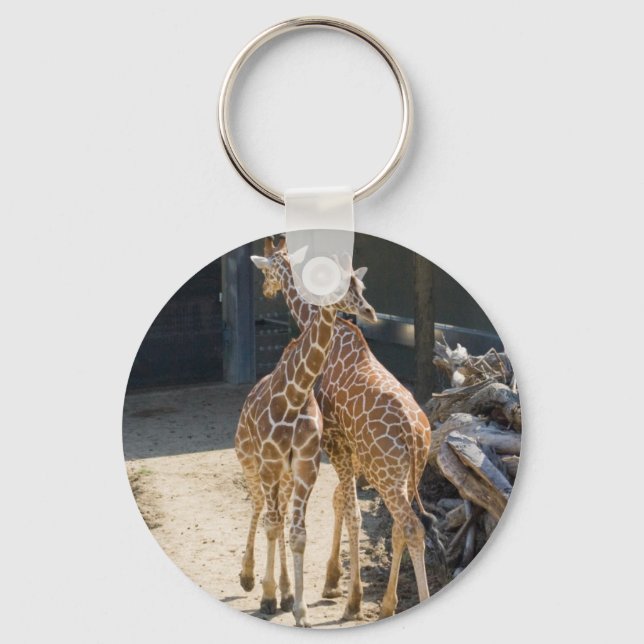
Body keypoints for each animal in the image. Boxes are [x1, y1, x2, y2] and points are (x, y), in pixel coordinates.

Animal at [234, 251, 376, 627]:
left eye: (361, 284)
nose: (369, 311)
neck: (295, 395)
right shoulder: (270, 464)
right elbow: (273, 525)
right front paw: (268, 596)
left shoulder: (305, 466)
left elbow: (298, 533)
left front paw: (298, 608)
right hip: (250, 462)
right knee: (262, 509)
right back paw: (250, 577)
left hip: (291, 473)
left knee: (286, 514)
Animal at [255, 237, 441, 620]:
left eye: (266, 270)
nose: (266, 291)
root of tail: (416, 435)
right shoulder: (348, 452)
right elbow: (341, 501)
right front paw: (333, 582)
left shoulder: (335, 442)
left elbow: (349, 509)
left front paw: (350, 597)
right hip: (406, 475)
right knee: (399, 527)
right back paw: (386, 605)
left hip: (385, 472)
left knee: (411, 526)